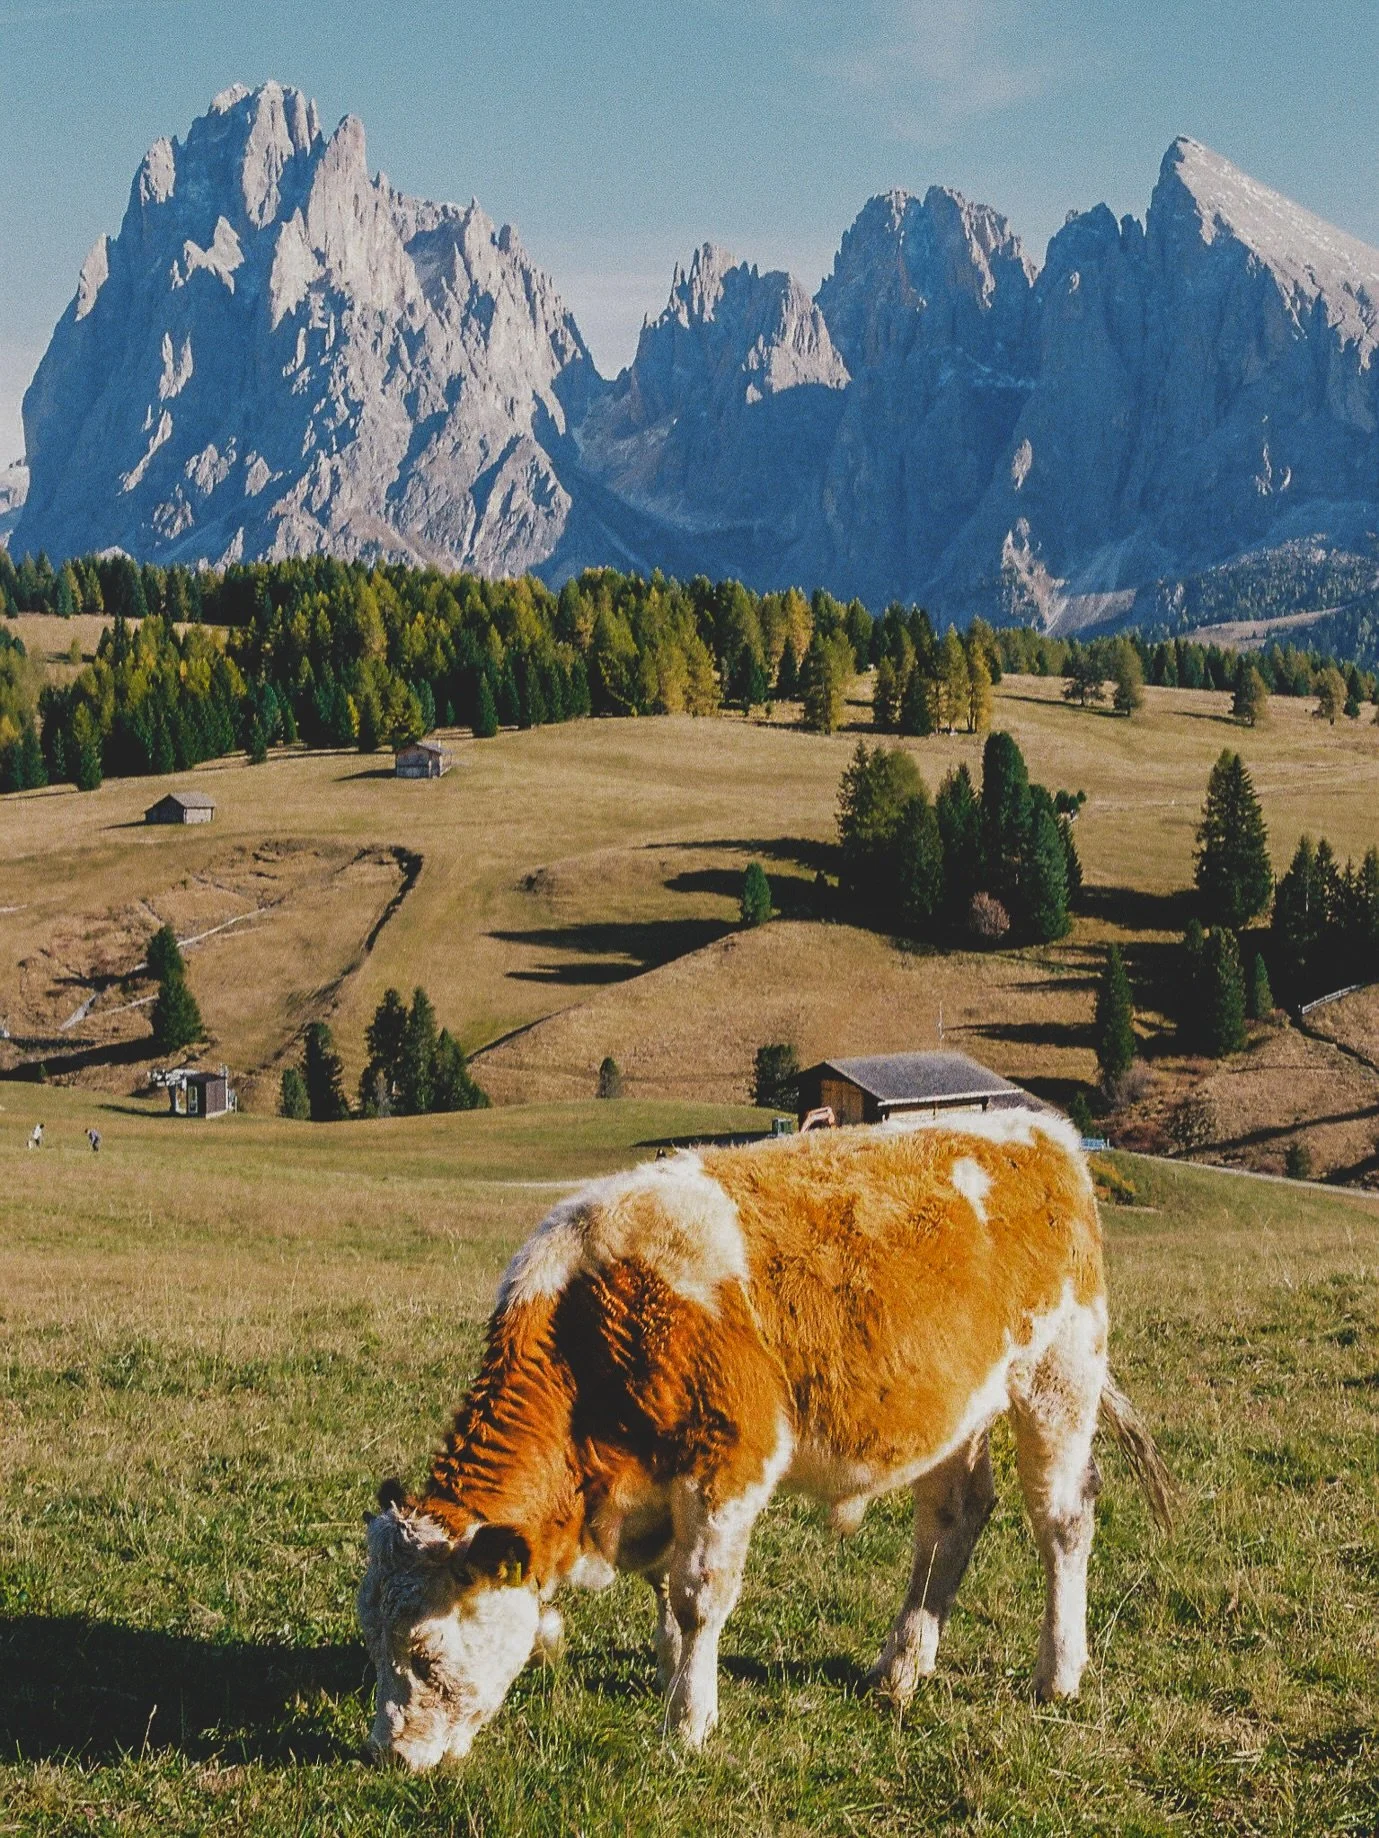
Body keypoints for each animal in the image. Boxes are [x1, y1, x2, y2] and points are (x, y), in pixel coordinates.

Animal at [358, 1110, 1171, 1772]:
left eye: (426, 1653)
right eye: (370, 1639)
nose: (390, 1756)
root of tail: (1039, 1131)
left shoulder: (726, 1463)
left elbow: (697, 1594)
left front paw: (687, 1722)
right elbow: (666, 1590)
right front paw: (672, 1676)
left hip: (1058, 1373)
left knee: (1062, 1519)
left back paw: (1057, 1674)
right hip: (955, 1412)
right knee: (952, 1520)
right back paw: (900, 1668)